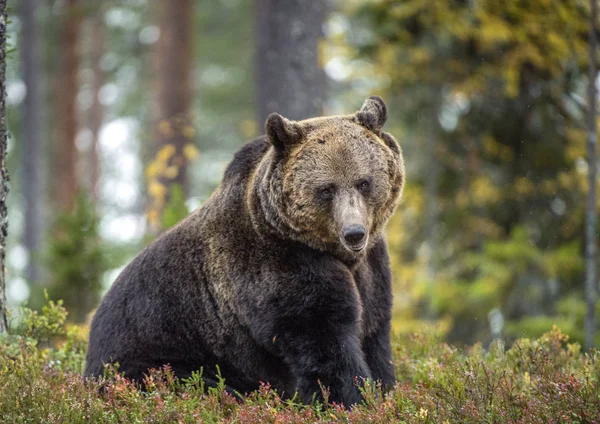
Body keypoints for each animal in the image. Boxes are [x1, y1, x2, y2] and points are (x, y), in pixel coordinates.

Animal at [85, 96, 404, 408]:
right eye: (326, 189)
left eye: (363, 182)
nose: (354, 232)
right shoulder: (276, 264)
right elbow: (322, 333)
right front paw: (352, 399)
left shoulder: (372, 268)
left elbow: (374, 332)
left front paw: (384, 390)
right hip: (152, 356)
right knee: (200, 385)